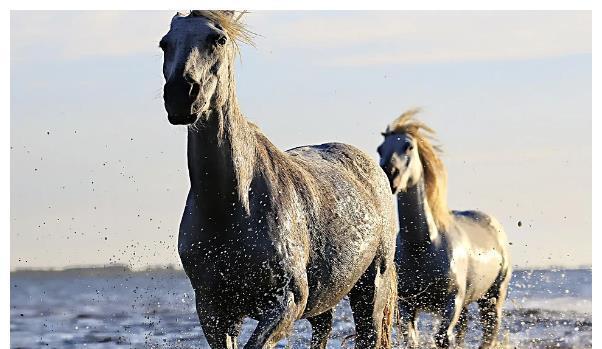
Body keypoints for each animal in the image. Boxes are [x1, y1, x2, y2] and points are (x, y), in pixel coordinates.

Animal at [158, 10, 398, 348]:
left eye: (218, 39)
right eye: (165, 43)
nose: (181, 95)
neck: (233, 205)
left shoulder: (286, 302)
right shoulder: (213, 311)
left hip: (371, 287)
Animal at [378, 109, 508, 348]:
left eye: (408, 146)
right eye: (380, 148)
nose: (390, 173)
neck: (423, 245)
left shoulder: (451, 301)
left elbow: (442, 338)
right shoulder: (407, 304)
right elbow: (412, 340)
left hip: (493, 297)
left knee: (489, 332)